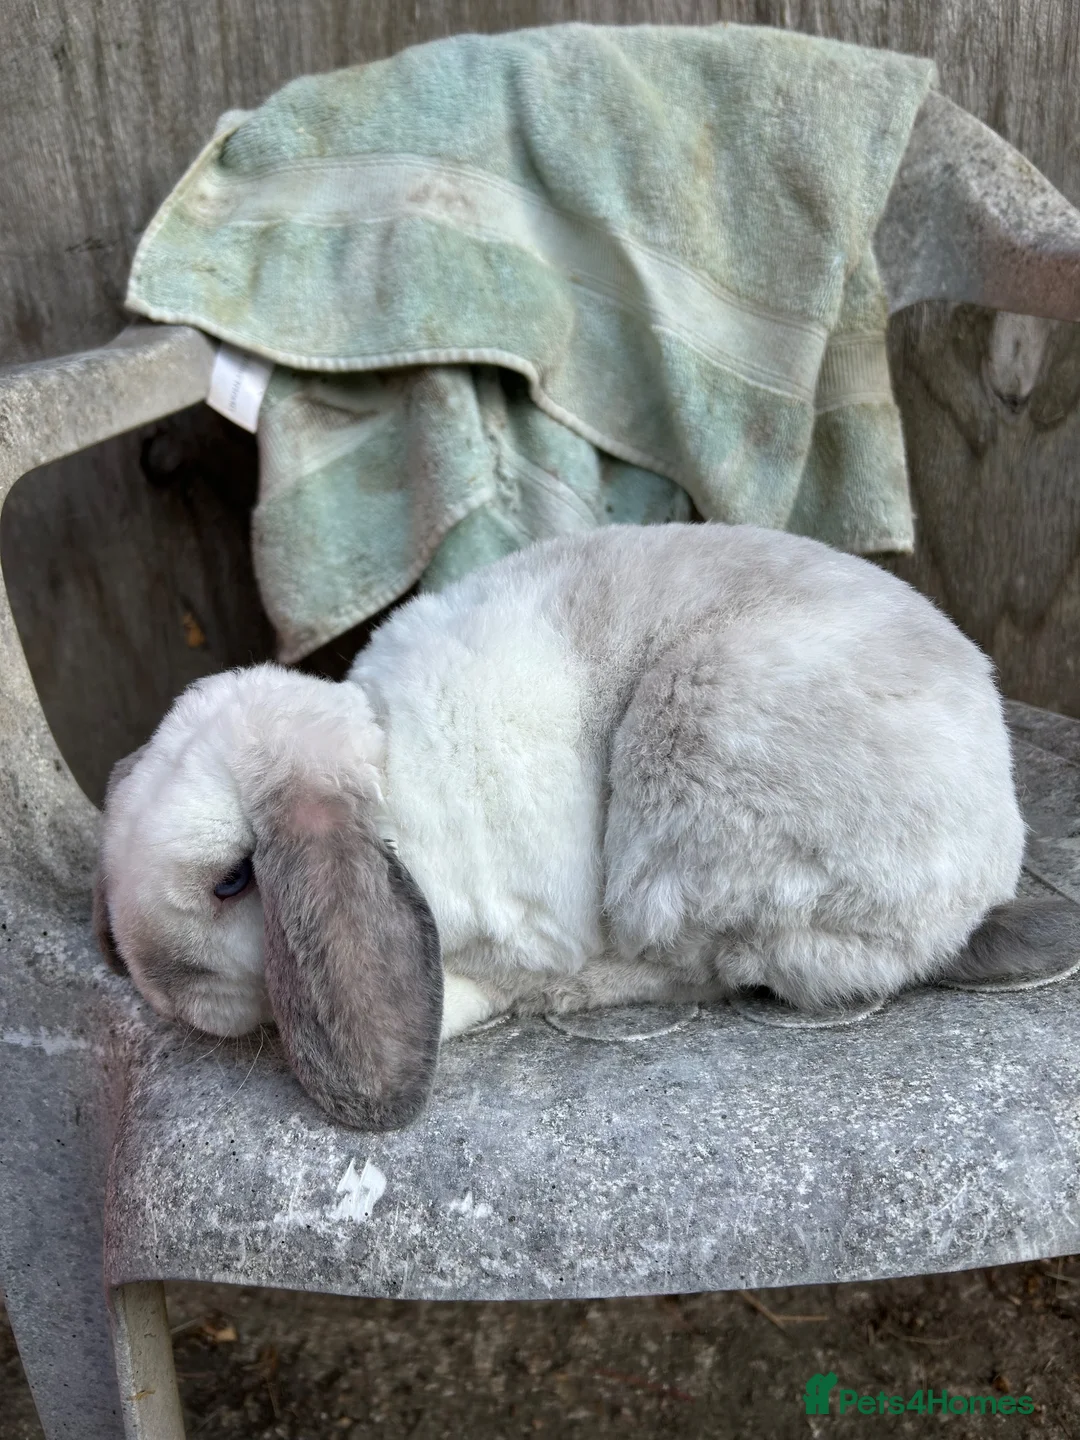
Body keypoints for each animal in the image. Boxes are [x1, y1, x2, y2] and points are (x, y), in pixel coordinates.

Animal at [95, 522, 1075, 1131]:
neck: (389, 790)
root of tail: (982, 882)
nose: (162, 990)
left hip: (691, 769)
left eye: (232, 879)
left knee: (717, 965)